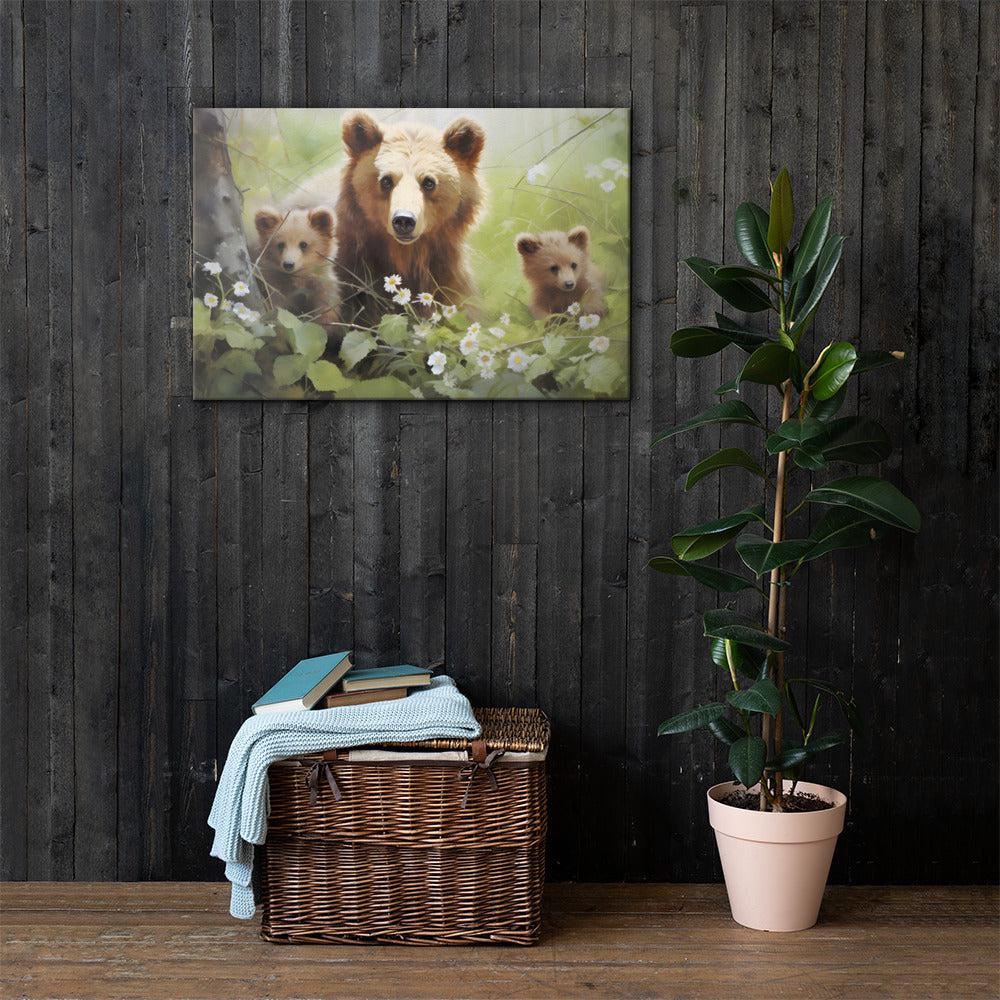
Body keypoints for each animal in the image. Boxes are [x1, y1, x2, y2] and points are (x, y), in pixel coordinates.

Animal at [335, 111, 486, 325]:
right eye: (386, 180)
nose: (404, 220)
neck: (405, 255)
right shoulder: (355, 273)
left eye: (429, 182)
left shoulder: (447, 276)